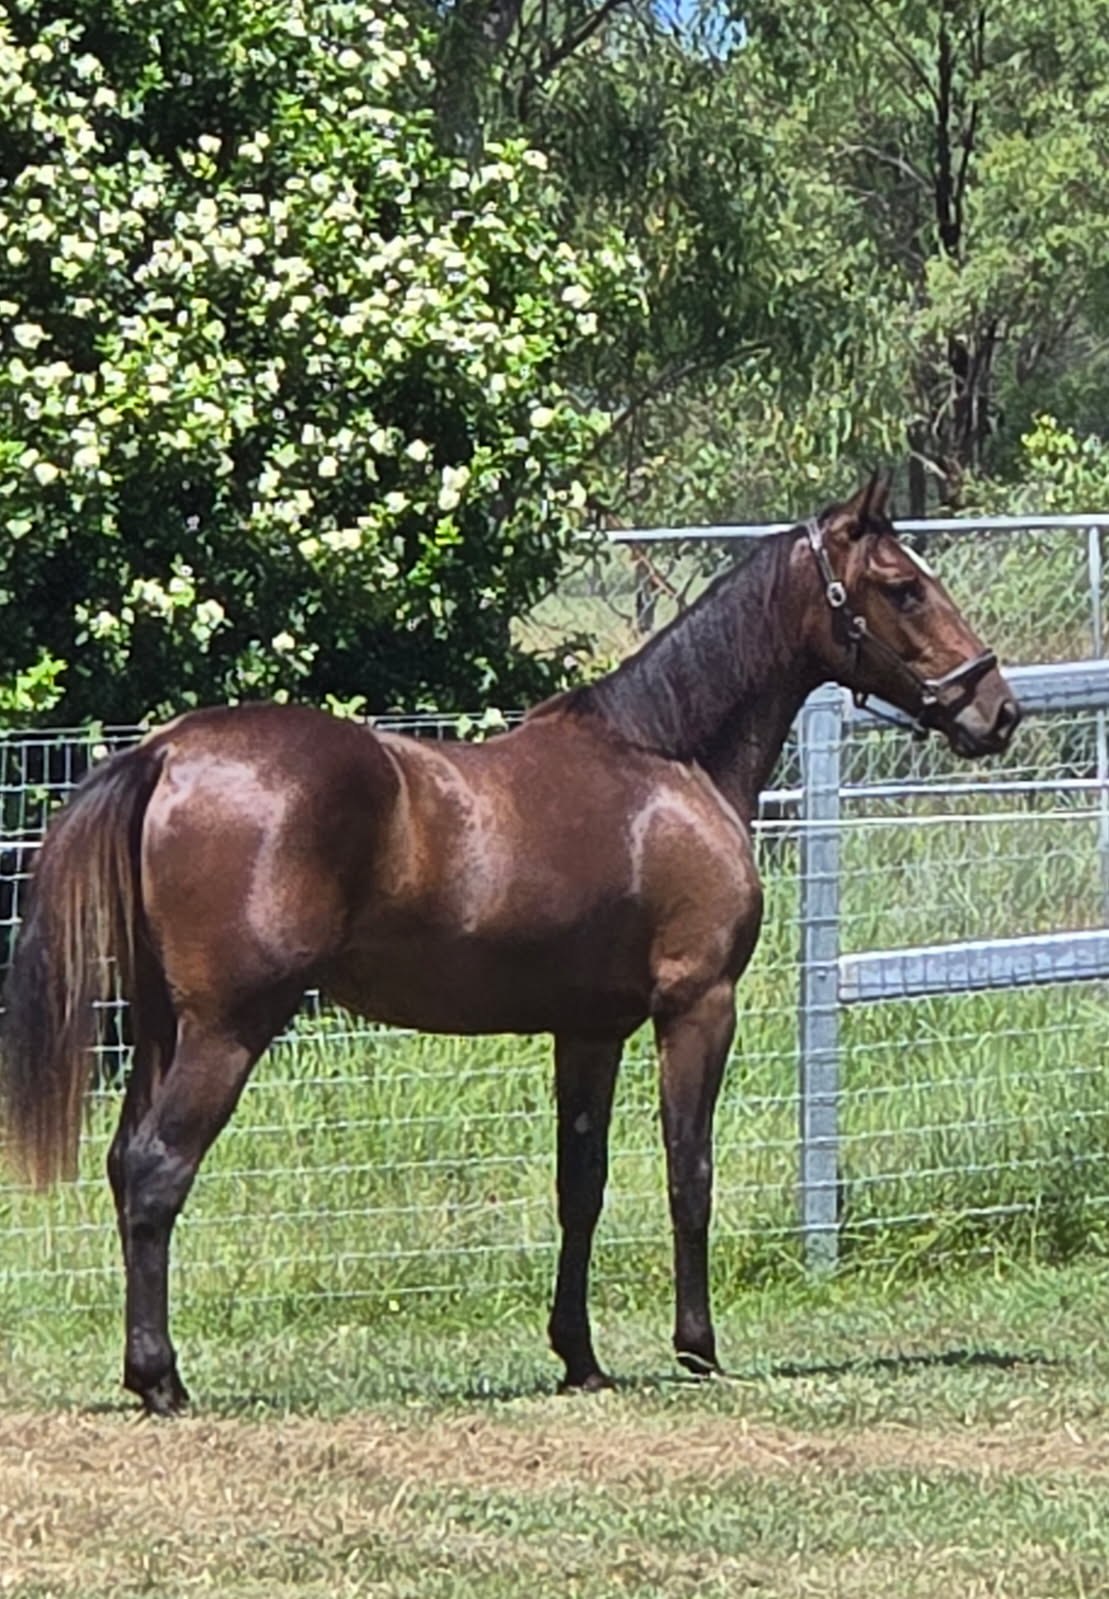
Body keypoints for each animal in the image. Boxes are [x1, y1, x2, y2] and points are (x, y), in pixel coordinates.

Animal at [0, 475, 1020, 1414]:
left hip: (161, 1025)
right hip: (228, 1028)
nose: (996, 710)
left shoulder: (589, 1030)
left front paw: (579, 1354)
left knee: (125, 1162)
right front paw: (697, 1348)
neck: (668, 758)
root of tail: (168, 751)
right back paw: (161, 1378)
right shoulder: (696, 1005)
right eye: (902, 586)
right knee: (157, 1170)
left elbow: (582, 1184)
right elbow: (688, 1170)